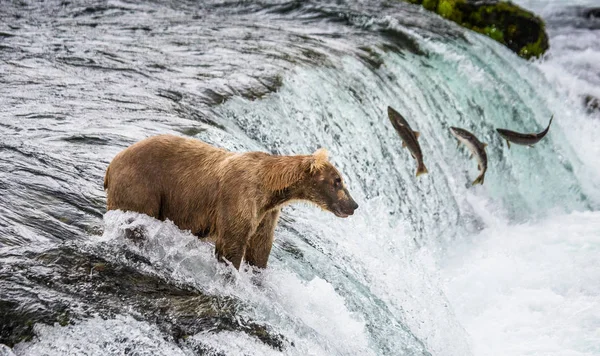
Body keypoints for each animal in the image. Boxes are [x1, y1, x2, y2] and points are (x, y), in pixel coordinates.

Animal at [103, 135, 358, 268]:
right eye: (338, 181)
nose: (353, 205)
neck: (271, 189)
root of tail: (112, 163)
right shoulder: (238, 197)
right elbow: (232, 244)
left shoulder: (266, 214)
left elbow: (259, 249)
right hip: (142, 186)